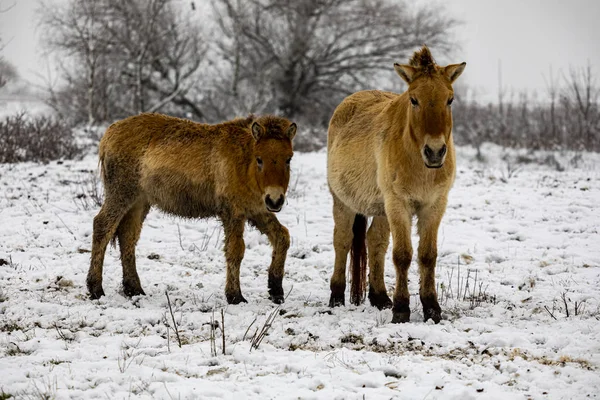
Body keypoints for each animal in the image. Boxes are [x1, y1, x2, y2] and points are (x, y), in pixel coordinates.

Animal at [85, 112, 296, 304]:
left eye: (288, 159)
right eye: (259, 159)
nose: (275, 200)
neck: (244, 161)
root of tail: (110, 133)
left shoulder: (257, 211)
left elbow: (282, 237)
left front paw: (275, 289)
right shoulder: (233, 212)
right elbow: (235, 251)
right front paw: (235, 296)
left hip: (139, 202)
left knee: (127, 237)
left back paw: (133, 289)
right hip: (121, 194)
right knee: (102, 227)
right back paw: (95, 289)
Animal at [328, 46, 464, 322]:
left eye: (450, 100)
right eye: (414, 100)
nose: (435, 152)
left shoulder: (434, 205)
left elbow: (427, 255)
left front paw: (432, 308)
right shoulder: (399, 204)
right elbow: (402, 255)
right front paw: (401, 309)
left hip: (381, 209)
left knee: (375, 242)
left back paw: (380, 298)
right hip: (344, 202)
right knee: (343, 240)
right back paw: (336, 297)